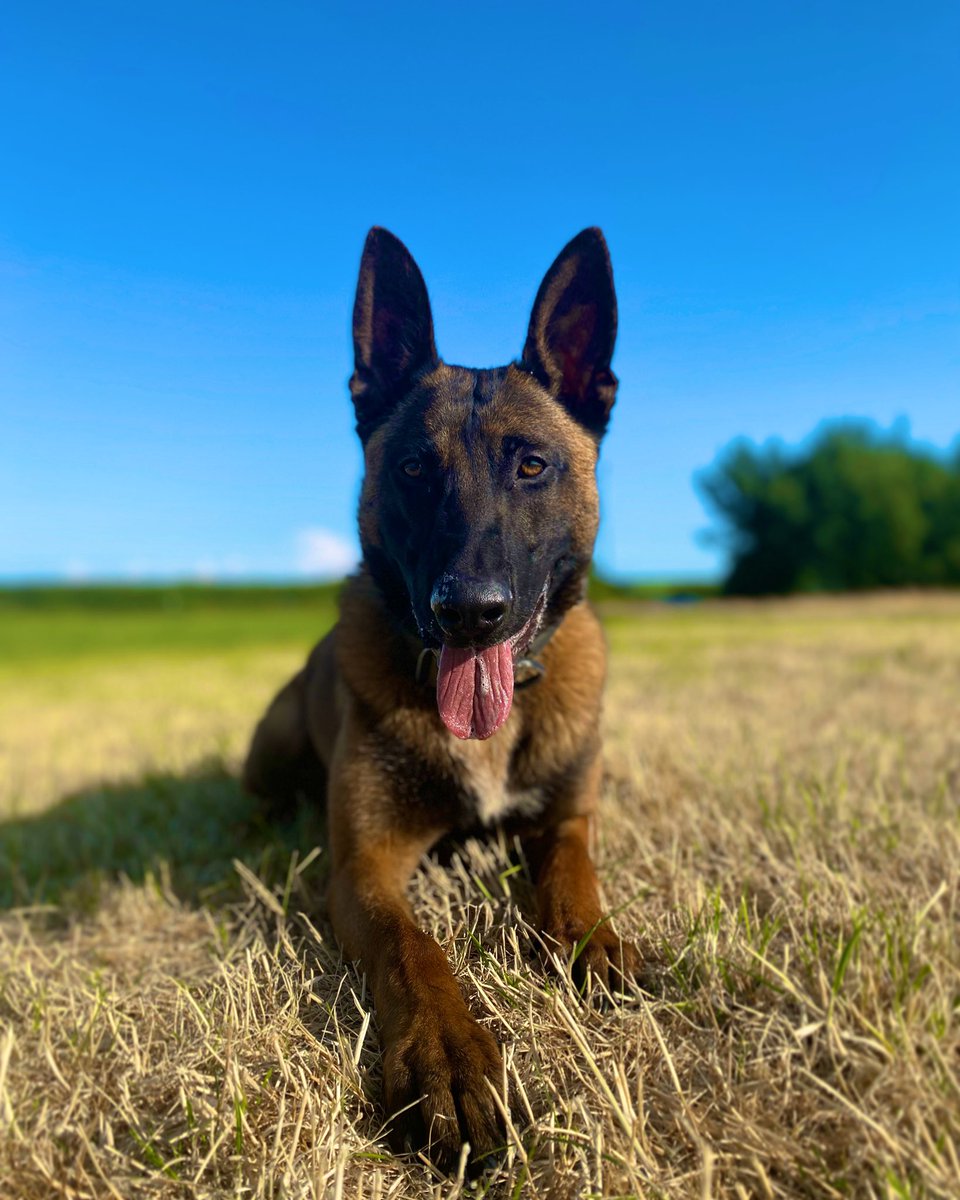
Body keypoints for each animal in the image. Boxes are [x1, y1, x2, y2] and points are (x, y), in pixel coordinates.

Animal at [243, 229, 643, 1166]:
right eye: (415, 469)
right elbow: (413, 948)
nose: (470, 610)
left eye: (531, 465)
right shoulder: (367, 867)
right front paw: (449, 1058)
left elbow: (573, 880)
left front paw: (598, 946)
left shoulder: (566, 821)